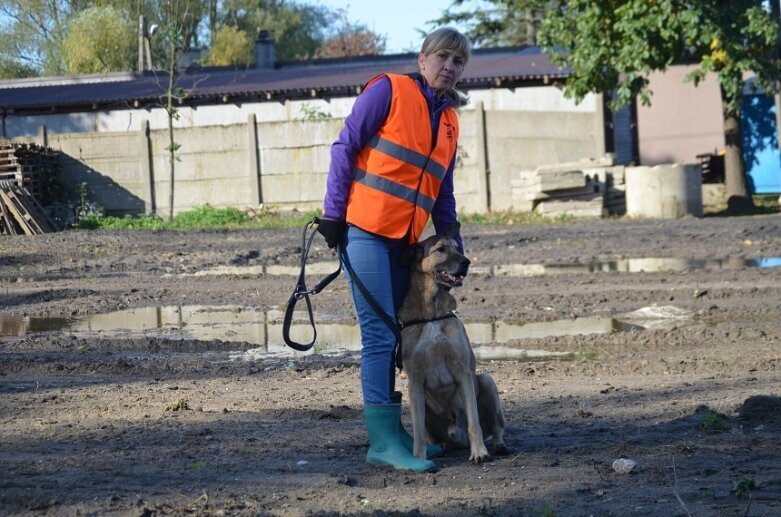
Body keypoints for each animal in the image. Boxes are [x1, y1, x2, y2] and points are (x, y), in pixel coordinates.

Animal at [400, 233, 508, 460]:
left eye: (458, 249)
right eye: (440, 249)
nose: (466, 262)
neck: (432, 313)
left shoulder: (464, 372)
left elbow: (474, 422)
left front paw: (479, 452)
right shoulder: (414, 381)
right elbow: (418, 431)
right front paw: (418, 458)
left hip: (486, 381)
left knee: (495, 427)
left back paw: (498, 445)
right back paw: (443, 447)